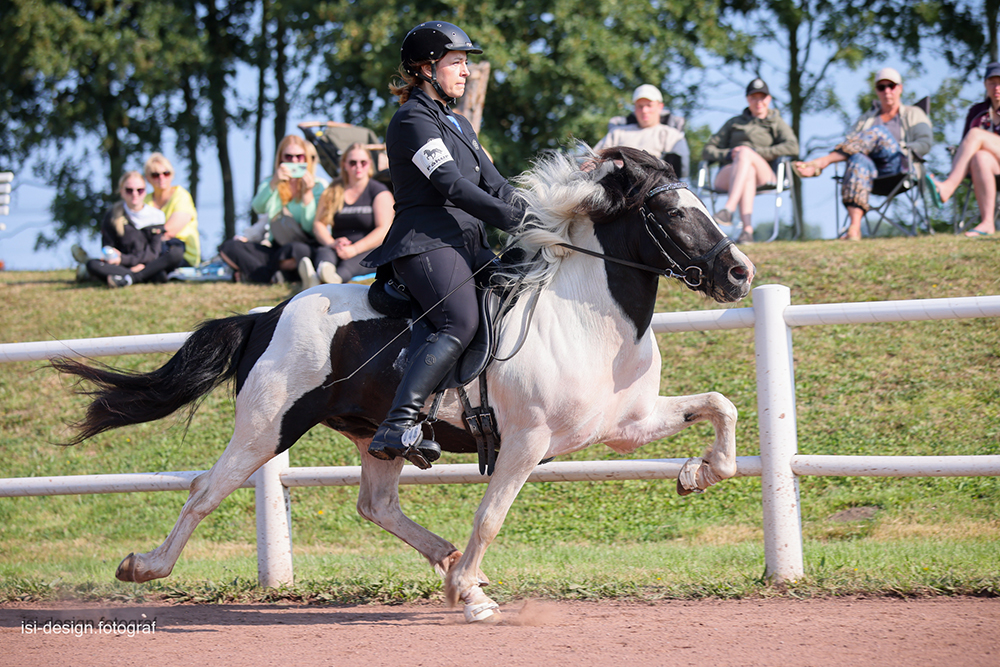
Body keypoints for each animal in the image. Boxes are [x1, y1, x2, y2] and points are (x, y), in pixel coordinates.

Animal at [54, 147, 752, 628]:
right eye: (671, 211)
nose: (740, 273)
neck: (589, 317)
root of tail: (266, 316)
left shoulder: (625, 425)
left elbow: (721, 406)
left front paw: (697, 474)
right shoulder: (526, 443)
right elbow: (491, 516)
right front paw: (471, 598)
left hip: (375, 435)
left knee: (377, 505)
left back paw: (446, 562)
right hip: (265, 427)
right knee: (205, 491)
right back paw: (144, 567)